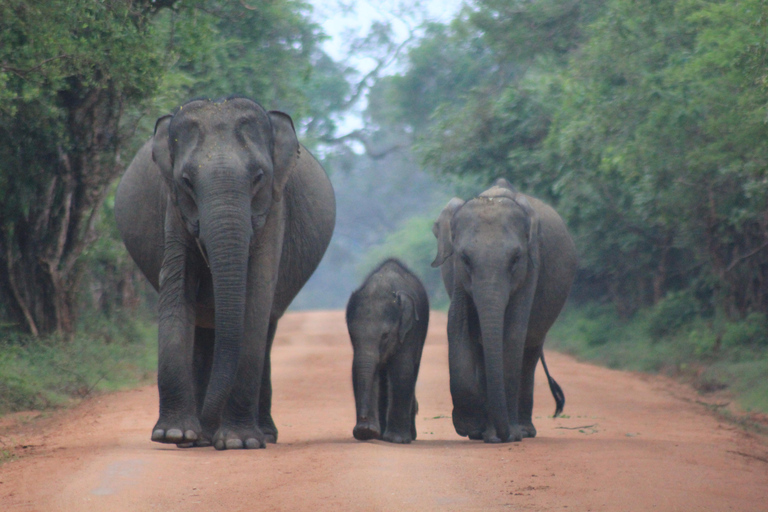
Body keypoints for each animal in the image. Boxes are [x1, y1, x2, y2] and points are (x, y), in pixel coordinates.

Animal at [112, 95, 334, 448]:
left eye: (258, 177)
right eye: (186, 182)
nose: (206, 429)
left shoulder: (274, 208)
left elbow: (256, 298)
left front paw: (238, 442)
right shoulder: (174, 207)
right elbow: (177, 292)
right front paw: (173, 435)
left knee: (266, 327)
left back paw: (259, 435)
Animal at [344, 258, 428, 442]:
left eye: (385, 336)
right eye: (352, 334)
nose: (362, 419)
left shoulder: (409, 330)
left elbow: (401, 370)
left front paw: (396, 440)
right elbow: (357, 370)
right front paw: (367, 432)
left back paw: (408, 436)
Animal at [432, 180, 576, 444]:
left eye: (516, 258)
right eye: (464, 258)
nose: (503, 434)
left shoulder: (531, 268)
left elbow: (512, 334)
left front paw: (507, 435)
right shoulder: (458, 276)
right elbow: (463, 330)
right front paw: (478, 430)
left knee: (530, 349)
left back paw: (524, 431)